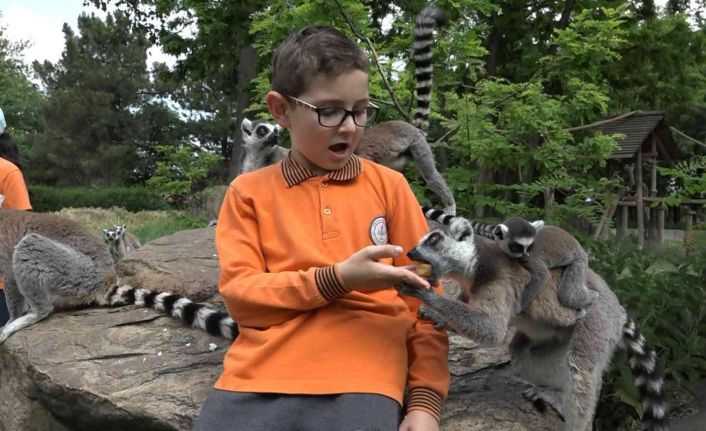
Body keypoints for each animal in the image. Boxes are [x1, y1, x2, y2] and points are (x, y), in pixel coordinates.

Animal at [0, 209, 237, 344]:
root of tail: (106, 278)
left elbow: (10, 280)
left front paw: (12, 317)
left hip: (75, 271)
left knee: (30, 245)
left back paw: (32, 314)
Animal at [235, 6, 456, 215]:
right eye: (263, 131)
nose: (273, 137)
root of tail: (411, 126)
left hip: (417, 145)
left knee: (431, 175)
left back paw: (450, 204)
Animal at [423, 207, 597, 315]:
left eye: (530, 247)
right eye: (517, 247)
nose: (525, 256)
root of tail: (575, 242)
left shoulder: (532, 259)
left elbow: (542, 276)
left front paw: (518, 308)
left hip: (579, 260)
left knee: (568, 294)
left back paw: (592, 297)